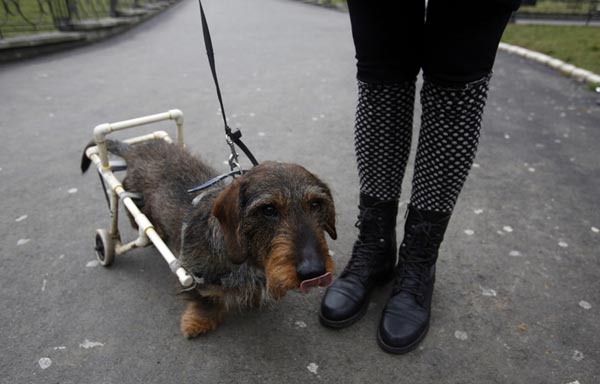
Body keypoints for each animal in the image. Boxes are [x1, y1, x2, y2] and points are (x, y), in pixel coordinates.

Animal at [81, 140, 338, 338]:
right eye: (268, 209)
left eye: (316, 204)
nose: (314, 272)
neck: (246, 258)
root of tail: (139, 147)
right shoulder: (193, 275)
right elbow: (204, 300)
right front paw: (198, 323)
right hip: (134, 196)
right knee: (129, 204)